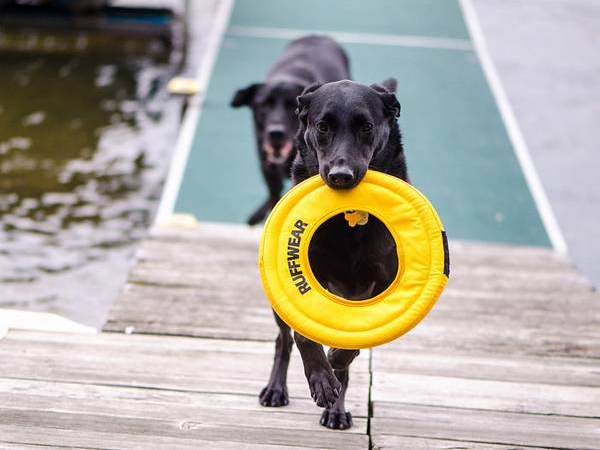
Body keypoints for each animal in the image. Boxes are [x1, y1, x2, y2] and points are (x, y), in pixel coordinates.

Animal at [258, 78, 406, 428]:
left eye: (367, 126)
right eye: (323, 126)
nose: (341, 175)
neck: (348, 221)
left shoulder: (381, 281)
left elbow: (351, 347)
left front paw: (335, 365)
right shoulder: (305, 274)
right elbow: (303, 336)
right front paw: (321, 379)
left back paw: (336, 409)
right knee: (282, 340)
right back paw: (276, 389)